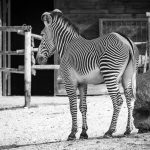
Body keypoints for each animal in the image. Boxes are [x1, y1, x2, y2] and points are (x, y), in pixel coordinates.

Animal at [36, 9, 138, 141]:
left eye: (42, 34)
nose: (38, 59)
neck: (67, 47)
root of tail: (126, 40)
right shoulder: (82, 83)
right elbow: (83, 106)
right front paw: (84, 133)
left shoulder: (69, 82)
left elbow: (73, 107)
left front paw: (72, 133)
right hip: (128, 76)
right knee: (130, 98)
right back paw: (128, 129)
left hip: (110, 74)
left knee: (118, 101)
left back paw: (110, 131)